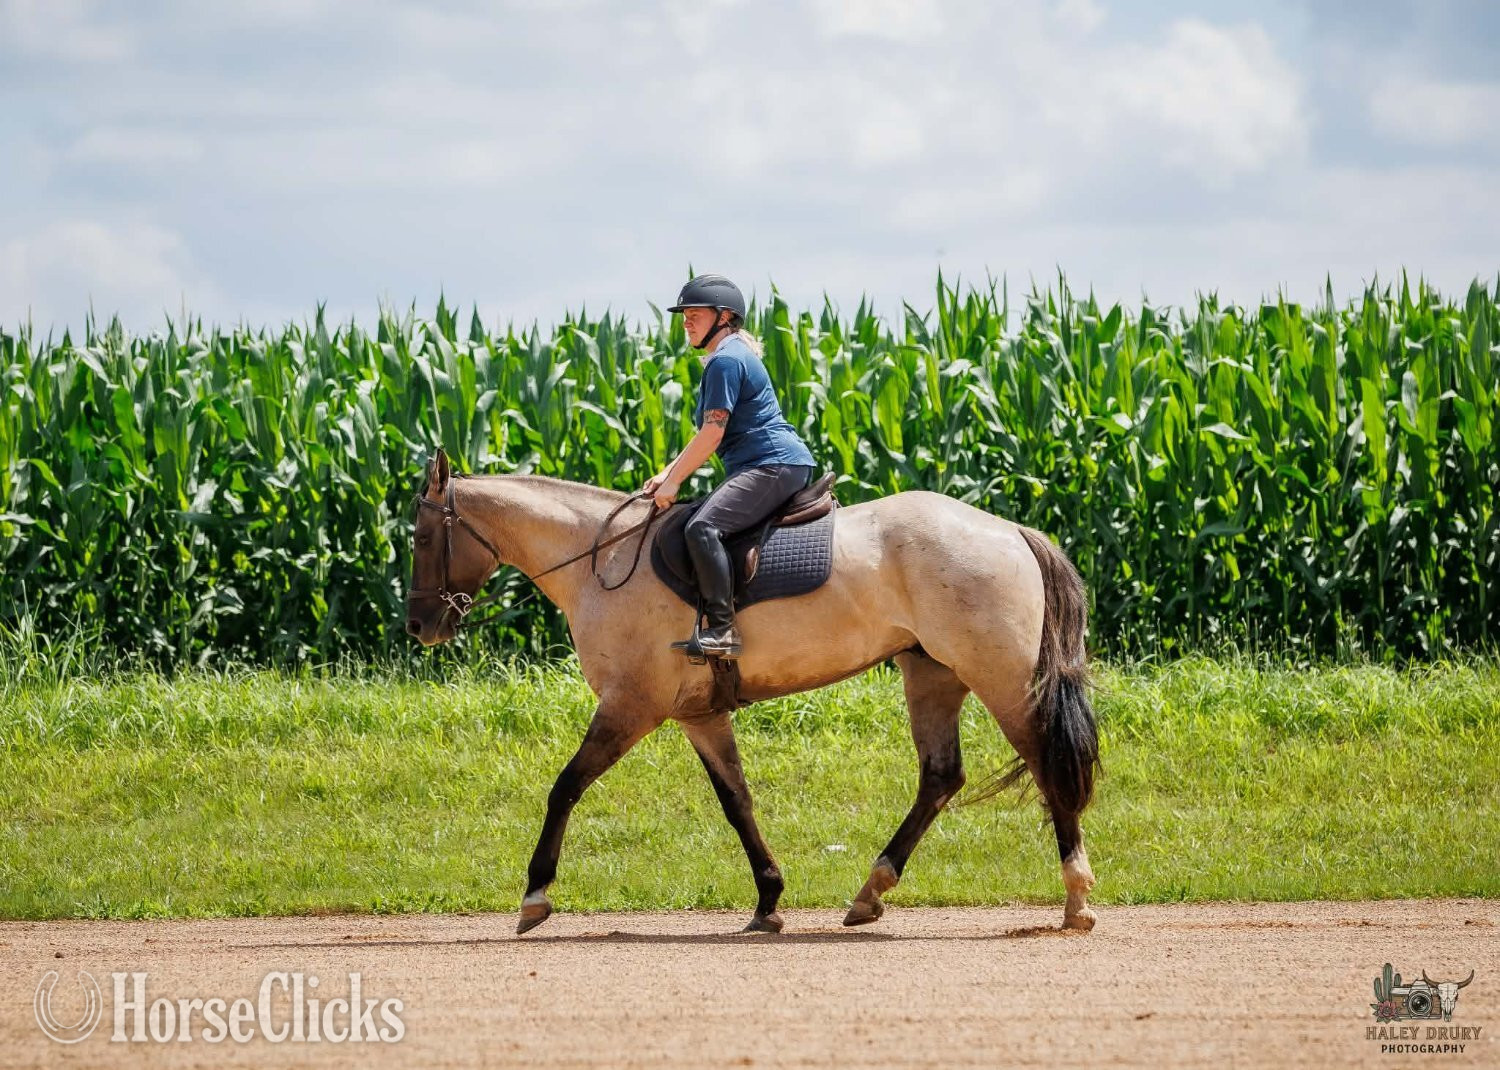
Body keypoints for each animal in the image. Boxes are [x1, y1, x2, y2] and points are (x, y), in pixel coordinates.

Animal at [405, 449, 1100, 935]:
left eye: (420, 536)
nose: (418, 627)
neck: (601, 561)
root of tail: (1008, 530)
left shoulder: (631, 706)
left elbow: (565, 787)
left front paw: (535, 895)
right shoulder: (698, 716)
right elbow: (736, 801)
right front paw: (768, 900)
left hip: (999, 676)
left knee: (1044, 763)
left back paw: (1075, 898)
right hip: (932, 673)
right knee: (940, 777)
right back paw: (870, 892)